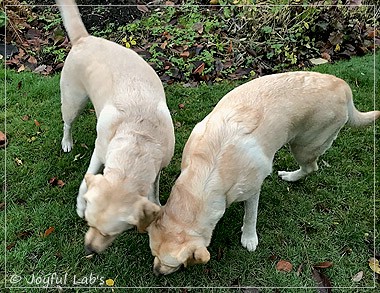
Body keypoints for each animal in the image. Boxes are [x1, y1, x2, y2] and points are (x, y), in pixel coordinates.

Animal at [56, 0, 175, 253]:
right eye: (88, 223)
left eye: (110, 234)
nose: (88, 250)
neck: (138, 139)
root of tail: (85, 38)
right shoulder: (99, 151)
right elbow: (87, 179)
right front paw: (80, 204)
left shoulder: (158, 166)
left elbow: (154, 190)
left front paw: (156, 206)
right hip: (73, 101)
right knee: (67, 123)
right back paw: (67, 142)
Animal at [146, 70, 380, 274]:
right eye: (153, 254)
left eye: (173, 263)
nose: (156, 272)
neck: (207, 173)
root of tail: (343, 86)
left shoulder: (252, 190)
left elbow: (251, 216)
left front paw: (249, 238)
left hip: (304, 146)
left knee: (311, 167)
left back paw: (291, 176)